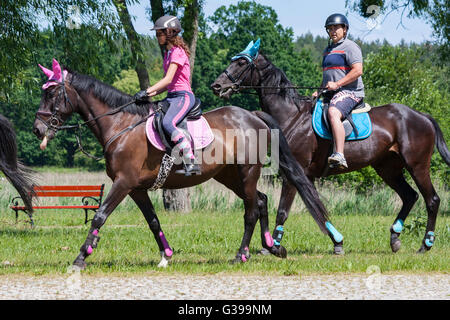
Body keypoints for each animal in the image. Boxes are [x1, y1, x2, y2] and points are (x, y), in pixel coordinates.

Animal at [32, 61, 334, 268]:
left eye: (52, 94)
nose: (37, 129)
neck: (121, 125)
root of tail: (252, 115)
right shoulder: (136, 188)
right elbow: (153, 220)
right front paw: (166, 255)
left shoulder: (123, 182)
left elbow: (100, 215)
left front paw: (81, 257)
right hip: (229, 176)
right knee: (259, 201)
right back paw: (270, 246)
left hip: (247, 172)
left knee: (250, 210)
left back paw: (242, 254)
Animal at [213, 50, 450, 255]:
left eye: (241, 63)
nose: (216, 86)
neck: (292, 117)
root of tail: (421, 115)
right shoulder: (305, 176)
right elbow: (317, 206)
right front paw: (337, 241)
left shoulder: (293, 175)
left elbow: (283, 210)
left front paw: (274, 246)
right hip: (387, 168)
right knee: (410, 196)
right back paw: (395, 237)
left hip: (417, 166)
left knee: (432, 200)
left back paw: (426, 244)